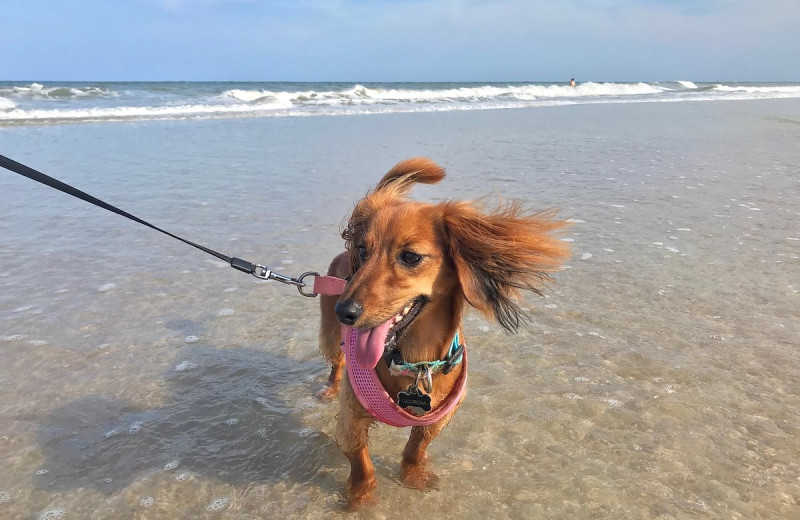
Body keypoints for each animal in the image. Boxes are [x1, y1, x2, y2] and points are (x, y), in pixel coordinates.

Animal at [318, 157, 568, 504]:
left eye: (410, 256)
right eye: (363, 251)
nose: (345, 312)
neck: (412, 361)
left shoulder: (438, 418)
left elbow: (416, 449)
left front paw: (413, 476)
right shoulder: (351, 421)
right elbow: (362, 463)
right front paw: (361, 497)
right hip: (330, 337)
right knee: (336, 363)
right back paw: (329, 388)